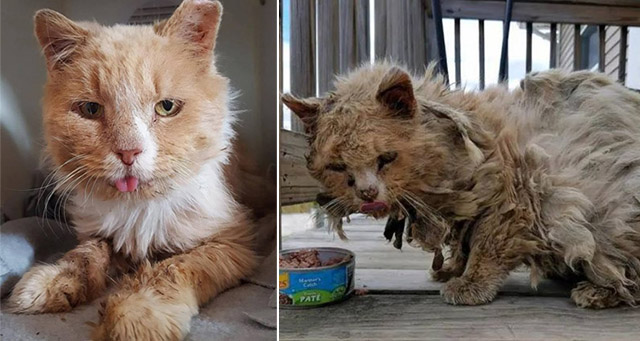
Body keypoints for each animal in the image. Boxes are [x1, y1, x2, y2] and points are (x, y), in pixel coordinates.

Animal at [6, 0, 264, 338]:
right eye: (91, 109)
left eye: (166, 107)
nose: (128, 153)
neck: (139, 210)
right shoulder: (99, 233)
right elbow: (84, 255)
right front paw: (52, 282)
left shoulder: (232, 242)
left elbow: (172, 269)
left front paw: (135, 314)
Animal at [284, 61, 640, 308]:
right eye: (338, 167)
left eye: (386, 158)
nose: (367, 193)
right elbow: (464, 245)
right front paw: (452, 270)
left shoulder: (514, 201)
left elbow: (485, 249)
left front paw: (470, 285)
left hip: (609, 216)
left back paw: (595, 292)